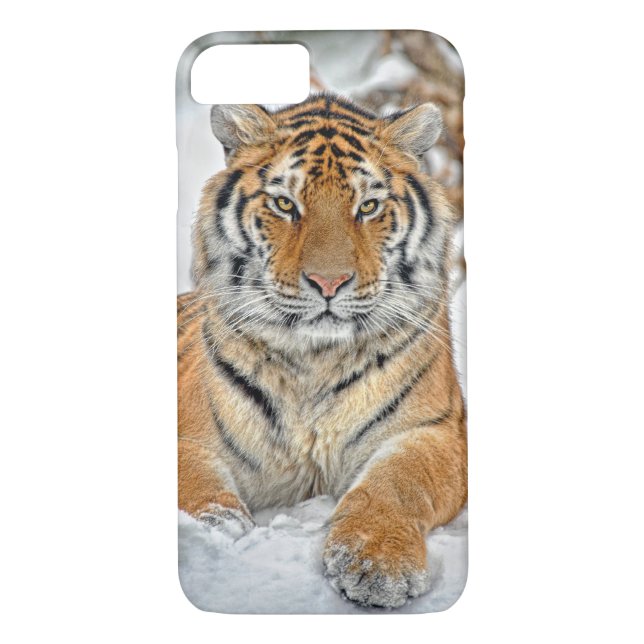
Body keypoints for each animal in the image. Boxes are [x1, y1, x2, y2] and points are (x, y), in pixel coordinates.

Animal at [178, 93, 467, 609]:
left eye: (368, 206)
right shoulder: (188, 432)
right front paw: (218, 528)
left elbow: (397, 483)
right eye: (284, 204)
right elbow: (195, 481)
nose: (328, 283)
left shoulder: (433, 431)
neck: (314, 361)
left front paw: (378, 563)